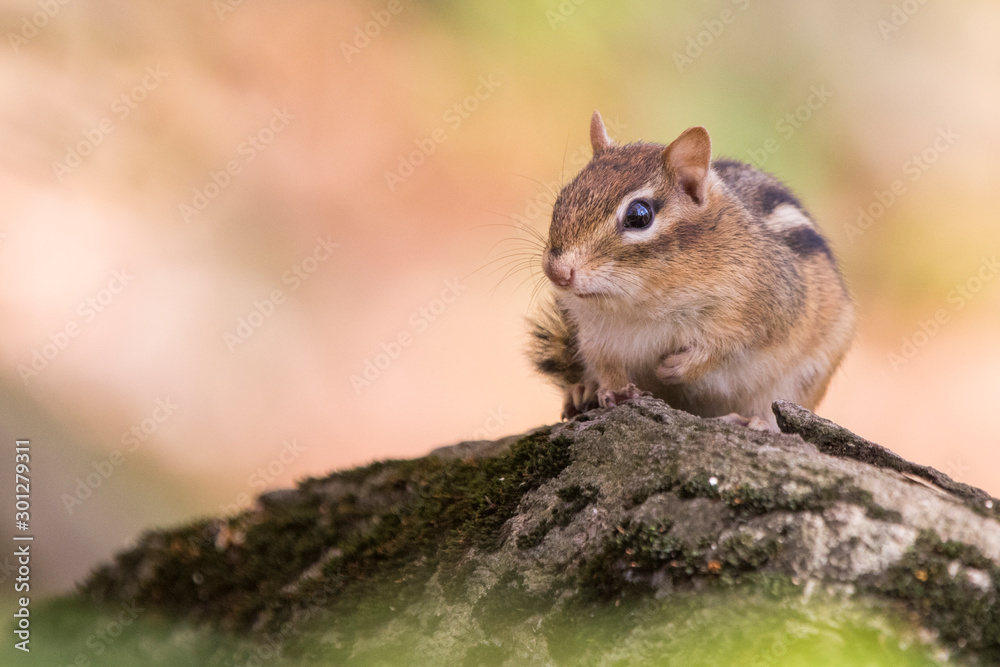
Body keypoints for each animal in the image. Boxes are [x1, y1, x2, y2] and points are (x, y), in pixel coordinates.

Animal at [528, 111, 855, 430]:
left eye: (639, 215)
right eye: (562, 198)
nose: (557, 271)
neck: (641, 303)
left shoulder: (765, 308)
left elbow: (725, 347)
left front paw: (673, 368)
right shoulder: (593, 333)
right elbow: (605, 362)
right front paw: (611, 389)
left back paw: (751, 420)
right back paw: (581, 391)